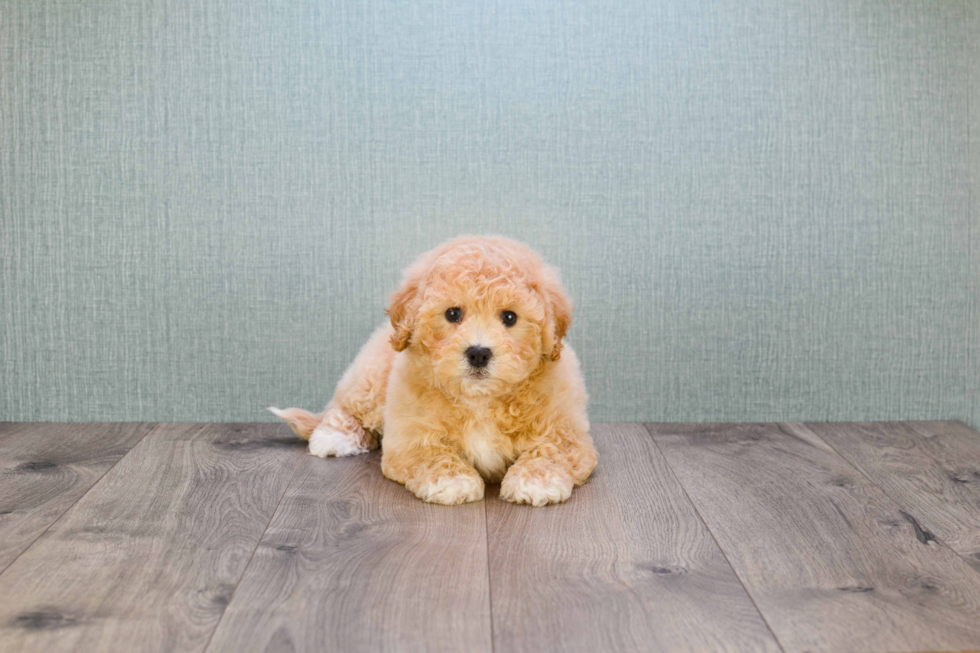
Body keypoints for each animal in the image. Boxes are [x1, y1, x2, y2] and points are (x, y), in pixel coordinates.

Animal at [272, 237, 600, 506]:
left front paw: (534, 481)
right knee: (346, 405)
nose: (478, 353)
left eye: (510, 317)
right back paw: (334, 437)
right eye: (453, 314)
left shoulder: (565, 431)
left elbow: (551, 451)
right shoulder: (408, 436)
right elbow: (432, 454)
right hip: (372, 376)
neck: (480, 400)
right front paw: (452, 481)